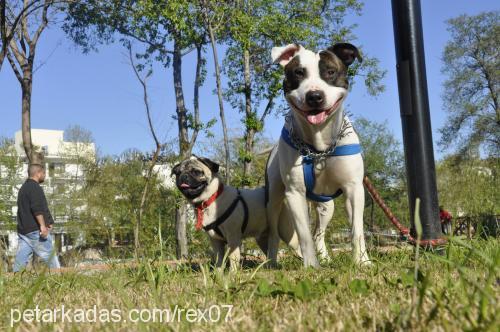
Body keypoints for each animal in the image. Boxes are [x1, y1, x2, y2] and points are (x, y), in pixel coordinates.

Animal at [268, 43, 370, 268]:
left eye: (330, 72)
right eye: (298, 73)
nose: (314, 96)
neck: (319, 147)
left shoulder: (354, 189)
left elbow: (357, 230)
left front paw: (362, 262)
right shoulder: (295, 193)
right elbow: (304, 235)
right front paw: (311, 267)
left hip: (326, 206)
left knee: (319, 232)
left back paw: (325, 257)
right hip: (275, 197)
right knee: (274, 231)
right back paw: (271, 262)